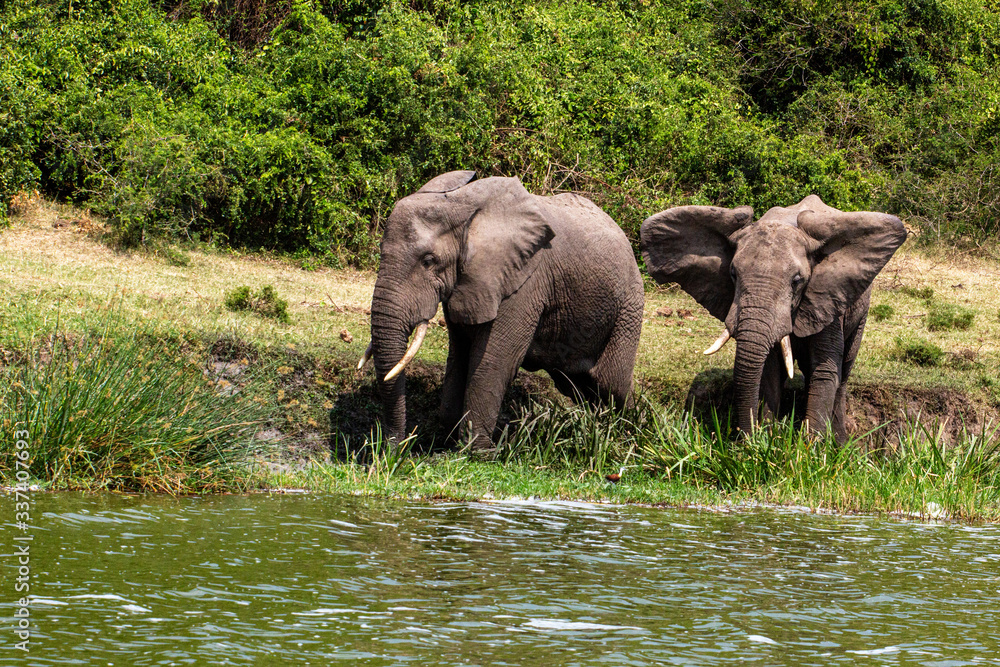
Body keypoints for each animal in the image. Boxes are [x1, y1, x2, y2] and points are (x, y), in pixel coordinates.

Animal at [359, 170, 644, 450]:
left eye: (429, 261)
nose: (392, 450)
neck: (461, 206)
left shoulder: (524, 283)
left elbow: (492, 362)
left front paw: (476, 453)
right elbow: (459, 356)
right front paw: (448, 440)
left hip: (629, 306)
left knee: (611, 381)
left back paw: (627, 435)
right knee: (576, 384)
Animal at [640, 195, 906, 441]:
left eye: (797, 280)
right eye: (733, 273)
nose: (744, 439)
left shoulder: (827, 297)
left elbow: (824, 370)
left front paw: (811, 451)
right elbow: (769, 371)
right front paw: (768, 443)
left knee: (843, 371)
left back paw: (840, 442)